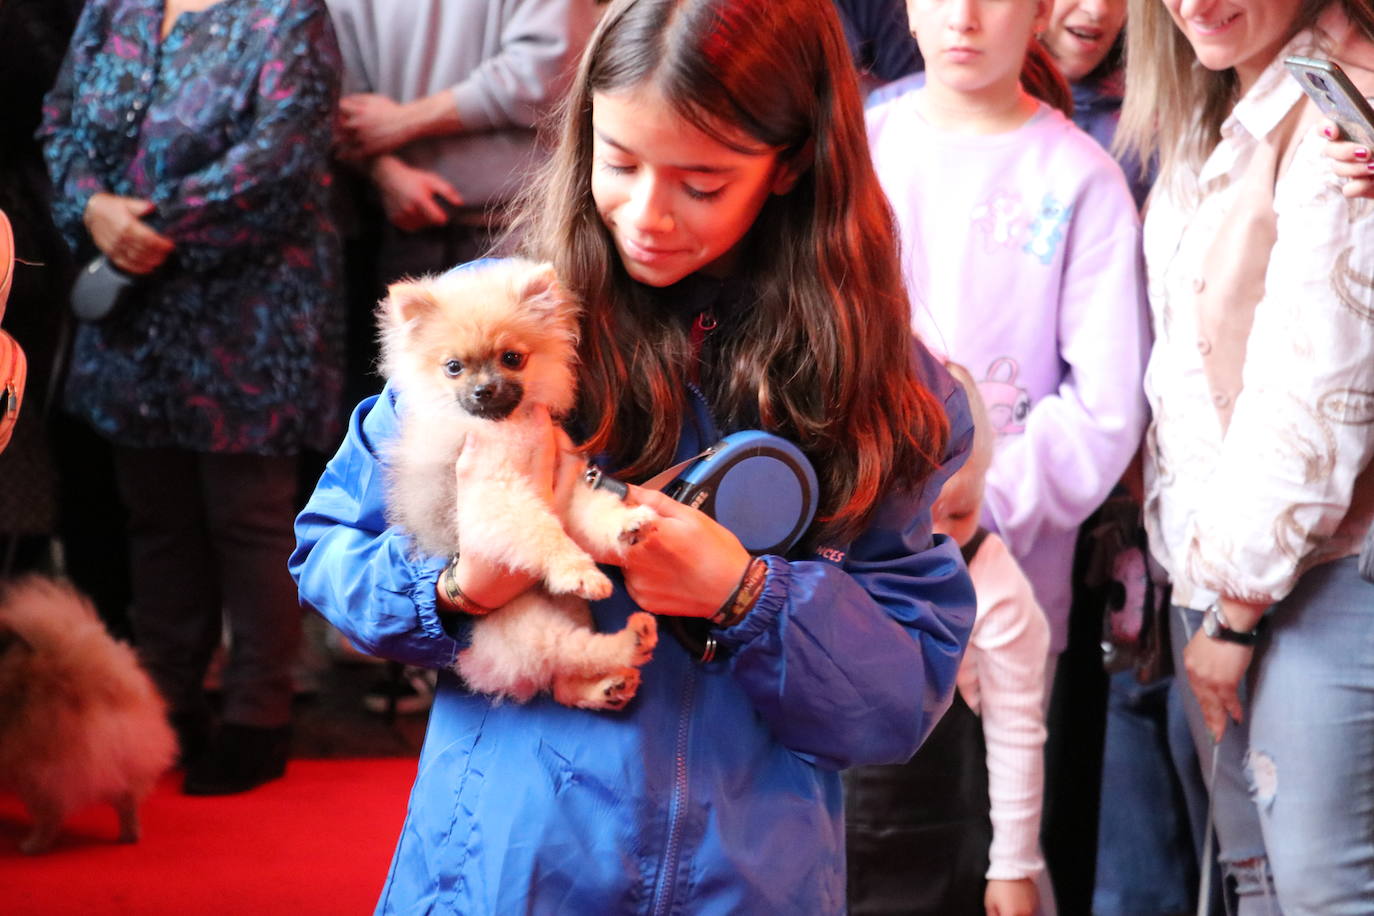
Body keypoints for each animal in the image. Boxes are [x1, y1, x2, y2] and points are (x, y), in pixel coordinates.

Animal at [376, 258, 654, 708]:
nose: (484, 389)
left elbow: (591, 509)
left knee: (563, 681)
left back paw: (608, 685)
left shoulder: (564, 486)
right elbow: (542, 530)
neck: (507, 428)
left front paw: (623, 524)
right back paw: (630, 643)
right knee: (572, 651)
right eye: (453, 367)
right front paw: (577, 568)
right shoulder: (496, 496)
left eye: (512, 358)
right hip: (527, 623)